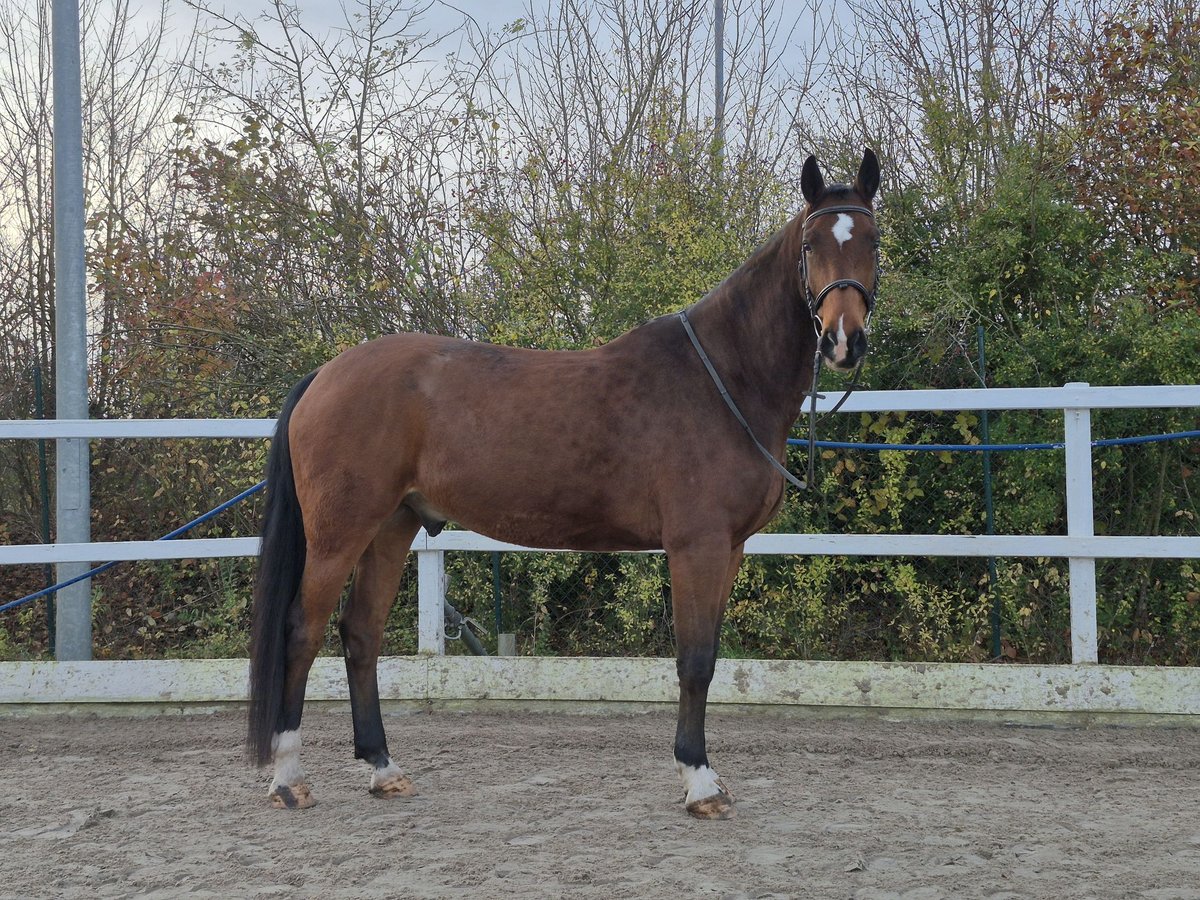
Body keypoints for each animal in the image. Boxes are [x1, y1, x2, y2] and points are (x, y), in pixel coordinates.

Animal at [247, 149, 881, 820]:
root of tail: (324, 374)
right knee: (301, 631)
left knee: (360, 632)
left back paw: (383, 767)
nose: (844, 339)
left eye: (872, 240)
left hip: (393, 526)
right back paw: (287, 777)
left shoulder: (729, 549)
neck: (722, 381)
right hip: (340, 532)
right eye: (811, 244)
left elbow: (705, 656)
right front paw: (700, 781)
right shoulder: (697, 546)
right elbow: (695, 661)